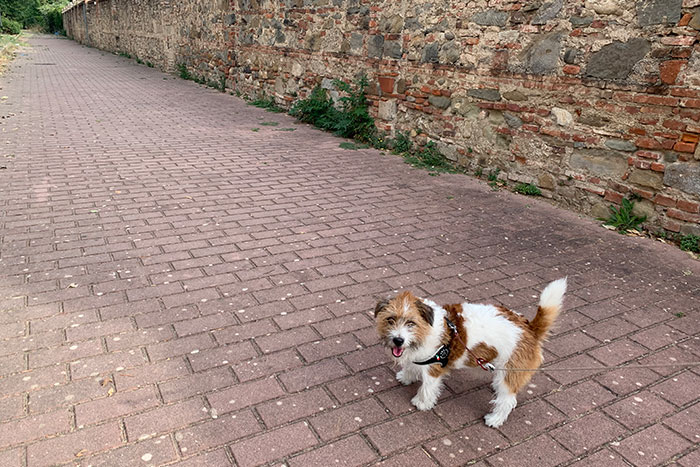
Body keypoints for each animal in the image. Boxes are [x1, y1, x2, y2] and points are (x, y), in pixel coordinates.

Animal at [374, 278, 568, 428]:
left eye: (411, 323)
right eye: (390, 319)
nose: (398, 340)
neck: (427, 329)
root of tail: (530, 328)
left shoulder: (433, 368)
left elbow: (428, 387)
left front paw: (422, 403)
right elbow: (411, 367)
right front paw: (406, 377)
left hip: (510, 372)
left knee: (507, 400)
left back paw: (494, 419)